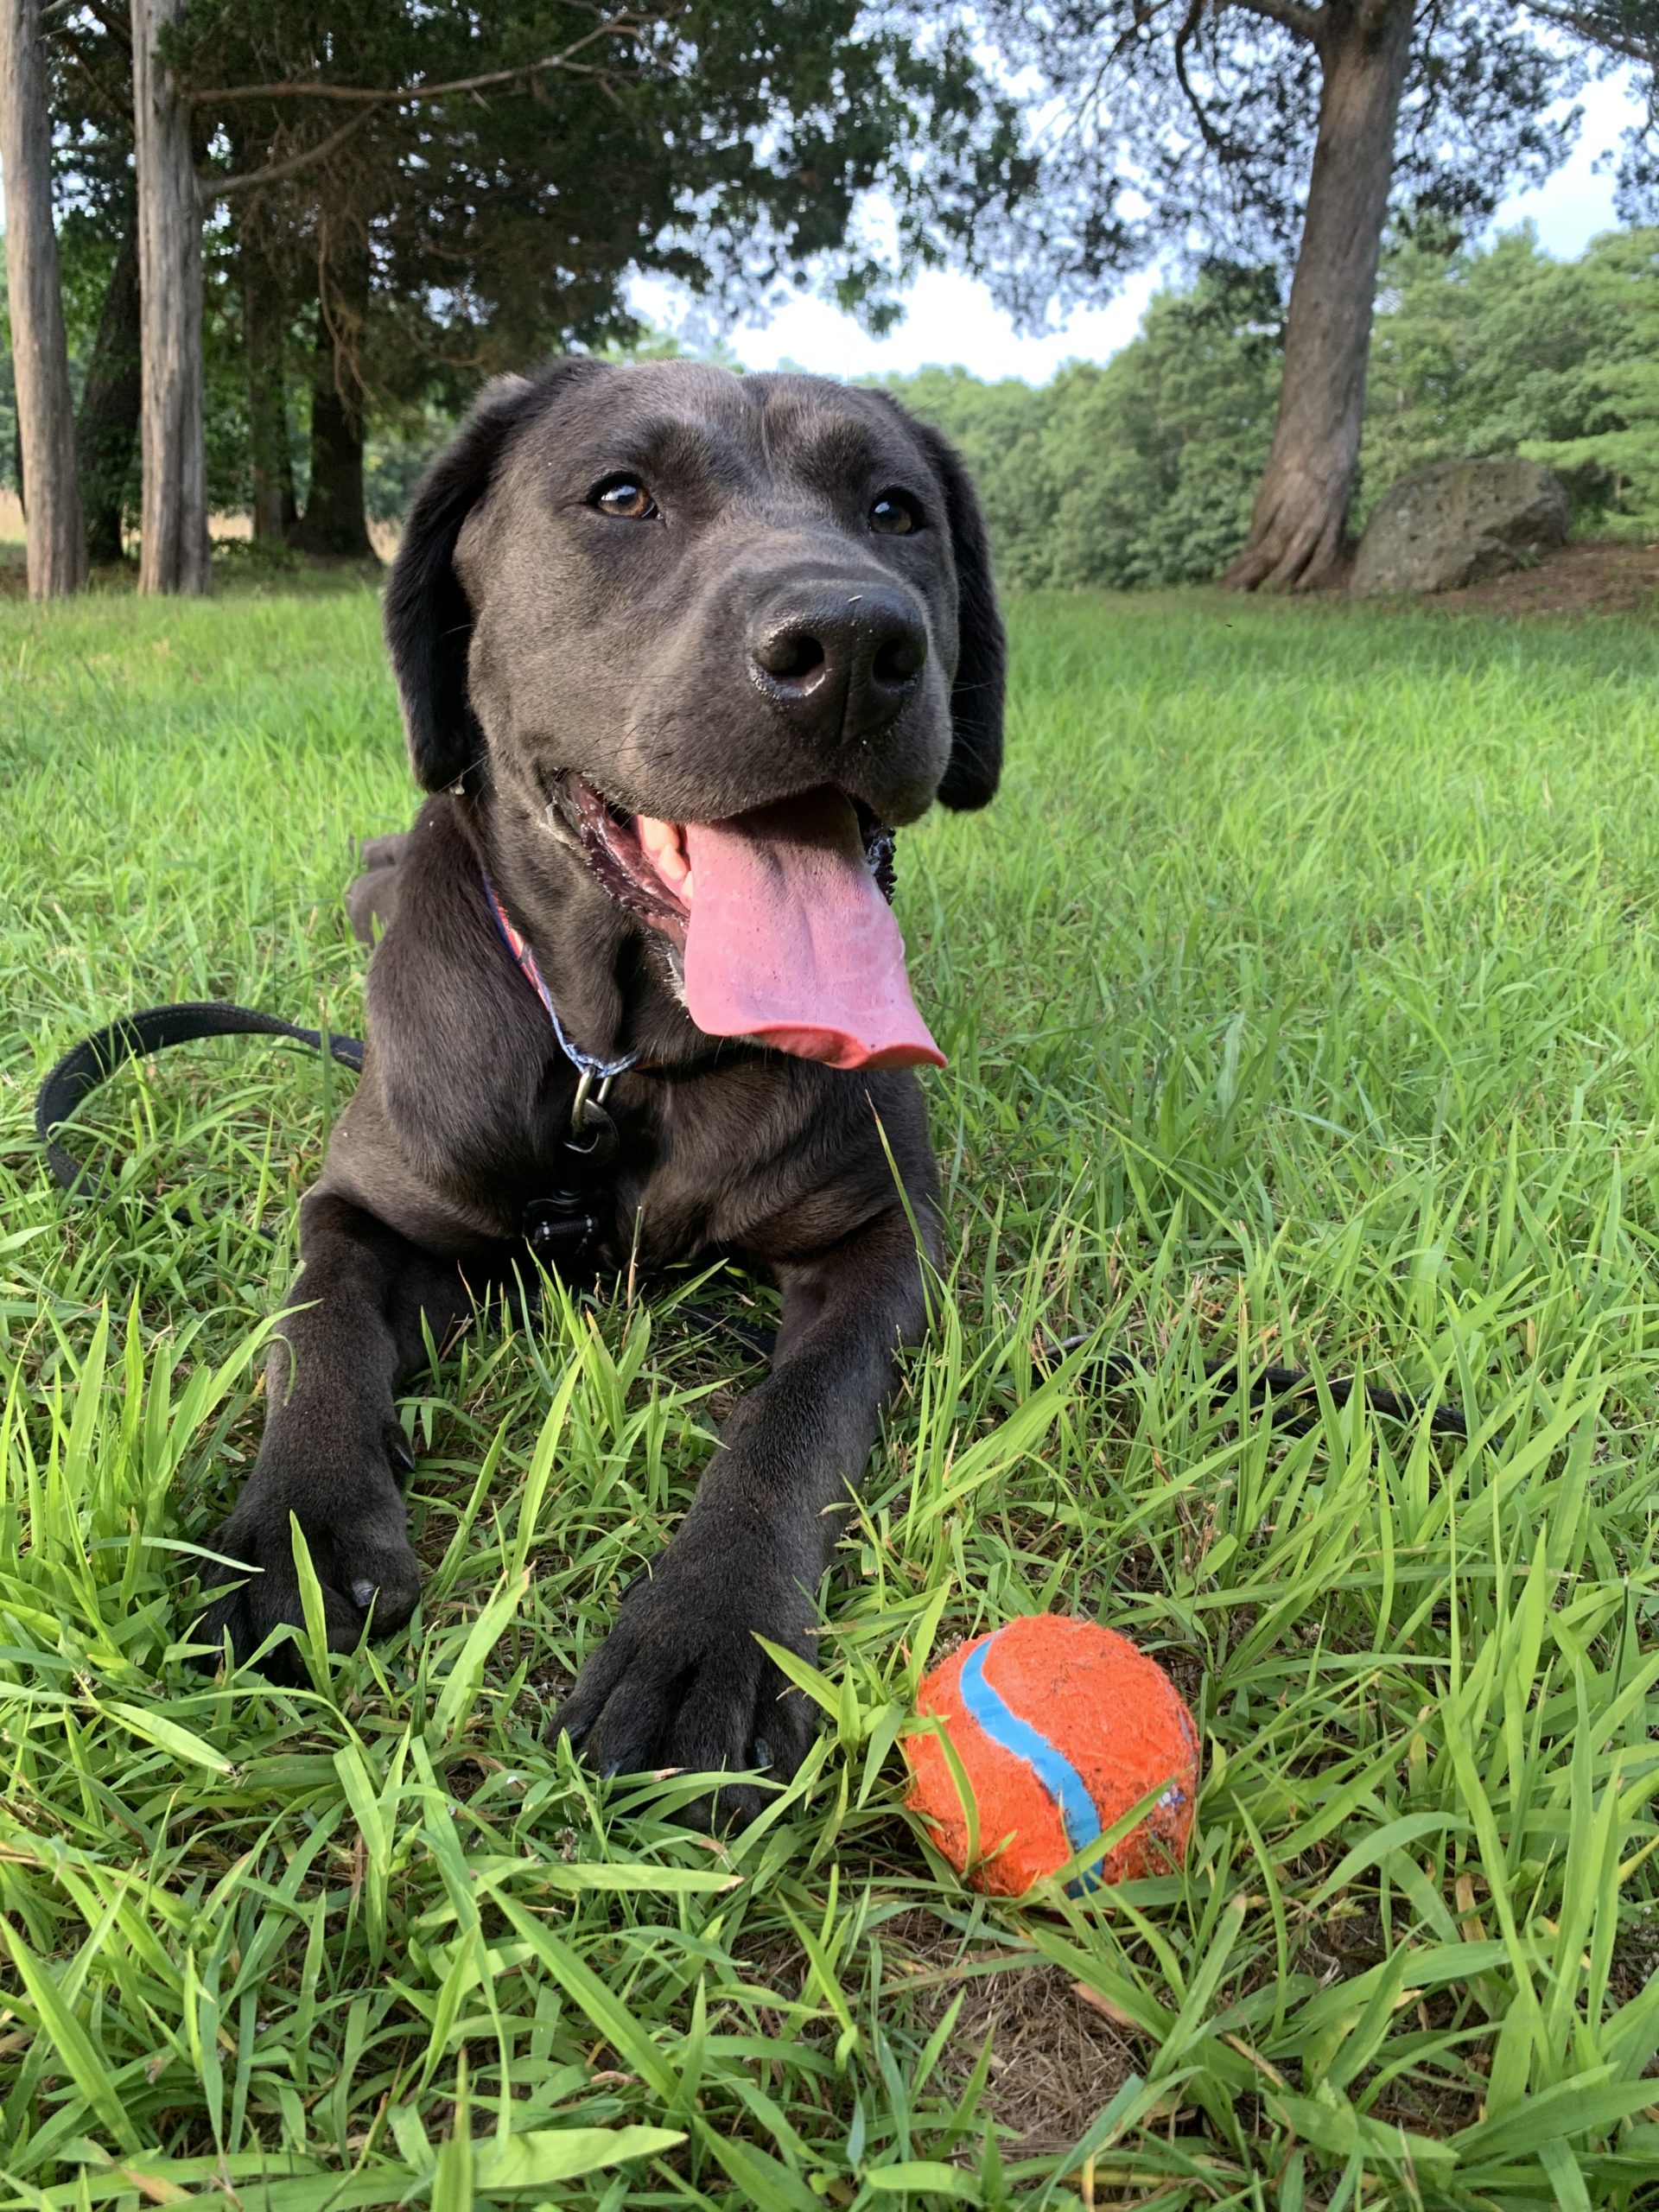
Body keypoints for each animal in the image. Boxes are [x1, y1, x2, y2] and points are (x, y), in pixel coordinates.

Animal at [191, 358, 1000, 1814]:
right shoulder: (364, 1201)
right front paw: (297, 1542)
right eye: (621, 496)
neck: (620, 1061)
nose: (853, 645)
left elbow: (794, 1416)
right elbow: (318, 1331)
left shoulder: (885, 1235)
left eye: (895, 510)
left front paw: (708, 1633)